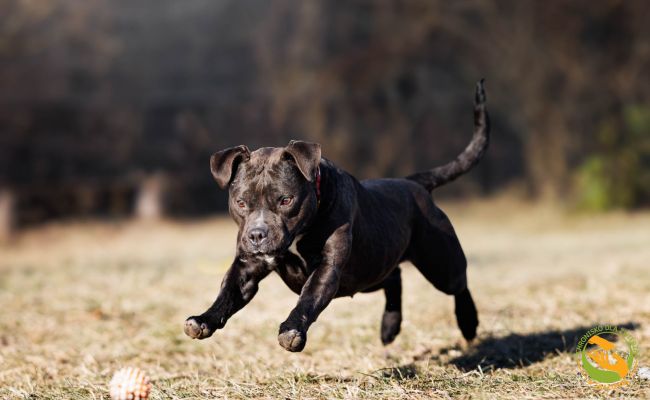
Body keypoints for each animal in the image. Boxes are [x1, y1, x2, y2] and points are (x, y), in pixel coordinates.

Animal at [185, 80, 489, 352]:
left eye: (286, 200)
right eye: (241, 202)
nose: (257, 234)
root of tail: (413, 183)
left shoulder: (327, 268)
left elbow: (309, 297)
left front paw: (292, 330)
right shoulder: (247, 267)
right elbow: (228, 293)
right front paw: (203, 320)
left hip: (439, 262)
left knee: (458, 283)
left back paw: (468, 322)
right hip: (371, 271)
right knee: (395, 277)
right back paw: (389, 327)